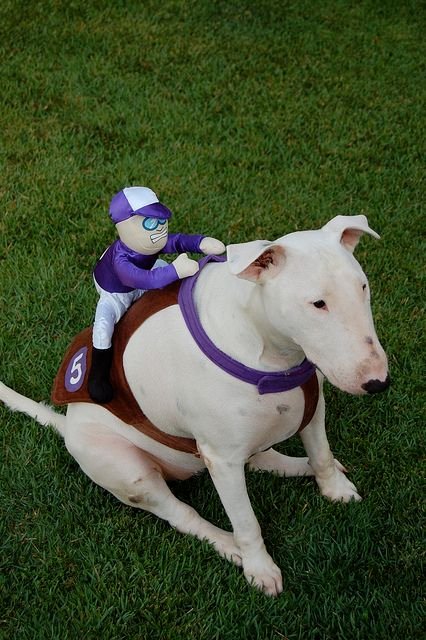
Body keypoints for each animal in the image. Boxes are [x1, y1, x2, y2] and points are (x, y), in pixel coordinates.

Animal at [0, 214, 390, 596]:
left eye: (363, 287)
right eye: (317, 303)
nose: (379, 383)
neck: (268, 346)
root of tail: (67, 422)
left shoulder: (313, 405)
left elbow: (321, 452)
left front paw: (335, 489)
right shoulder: (222, 458)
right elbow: (246, 521)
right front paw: (260, 569)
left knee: (263, 458)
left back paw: (303, 467)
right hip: (131, 470)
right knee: (183, 516)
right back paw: (228, 544)